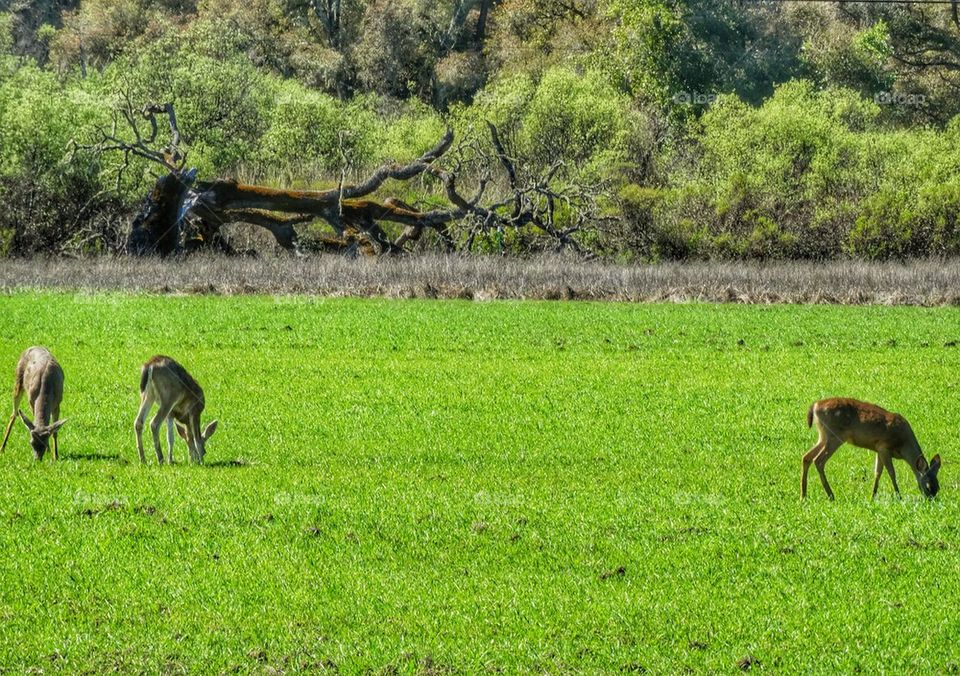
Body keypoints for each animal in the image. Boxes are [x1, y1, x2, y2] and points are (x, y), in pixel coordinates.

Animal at [800, 398, 940, 500]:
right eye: (928, 487)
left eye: (938, 487)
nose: (931, 501)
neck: (903, 445)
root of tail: (815, 406)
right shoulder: (884, 447)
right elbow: (891, 473)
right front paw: (898, 496)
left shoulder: (878, 449)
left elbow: (877, 473)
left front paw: (872, 496)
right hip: (834, 436)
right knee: (818, 460)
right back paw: (830, 495)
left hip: (823, 436)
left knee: (806, 457)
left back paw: (804, 495)